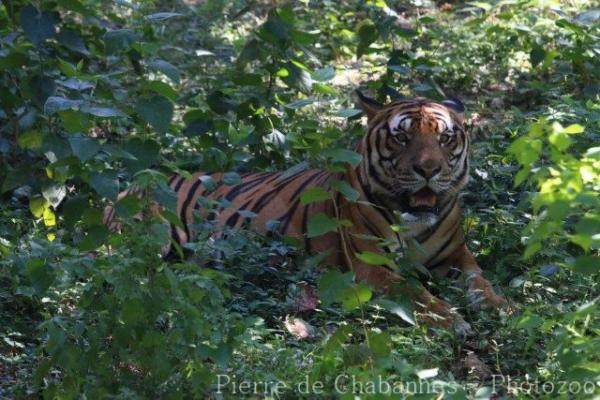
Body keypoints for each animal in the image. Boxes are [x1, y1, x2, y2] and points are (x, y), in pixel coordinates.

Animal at [104, 92, 506, 332]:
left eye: (445, 138)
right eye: (402, 137)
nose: (428, 170)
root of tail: (125, 188)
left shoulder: (456, 256)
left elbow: (481, 281)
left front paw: (501, 307)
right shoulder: (371, 266)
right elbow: (413, 291)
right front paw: (452, 319)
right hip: (149, 235)